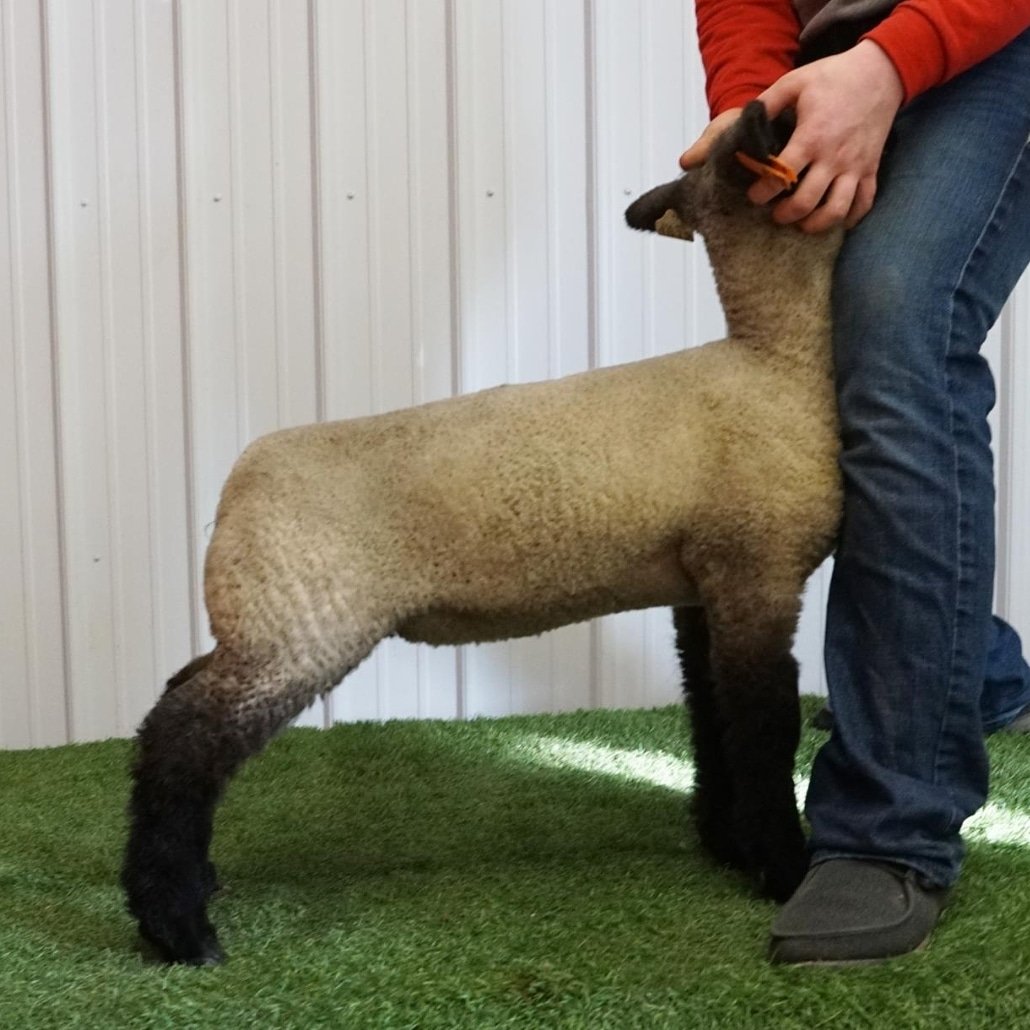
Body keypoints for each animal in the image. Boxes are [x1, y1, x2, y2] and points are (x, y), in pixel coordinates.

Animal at [122, 101, 844, 965]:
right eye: (777, 129)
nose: (792, 105)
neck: (774, 361)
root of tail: (236, 486)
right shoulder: (756, 566)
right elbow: (764, 722)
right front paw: (781, 866)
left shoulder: (700, 583)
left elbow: (710, 710)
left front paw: (726, 843)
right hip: (301, 625)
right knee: (186, 739)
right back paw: (178, 926)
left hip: (262, 619)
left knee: (174, 700)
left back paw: (193, 886)